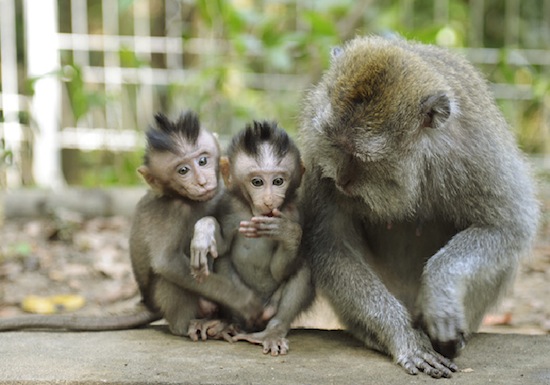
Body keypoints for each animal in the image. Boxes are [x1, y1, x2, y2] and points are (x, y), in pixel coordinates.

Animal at [192, 120, 314, 354]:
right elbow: (221, 247)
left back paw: (273, 331)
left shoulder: (295, 212)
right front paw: (204, 232)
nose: (268, 200)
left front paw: (286, 233)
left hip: (270, 308)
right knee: (222, 260)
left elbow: (281, 269)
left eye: (278, 181)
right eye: (257, 182)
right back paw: (227, 322)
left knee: (304, 265)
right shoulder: (230, 207)